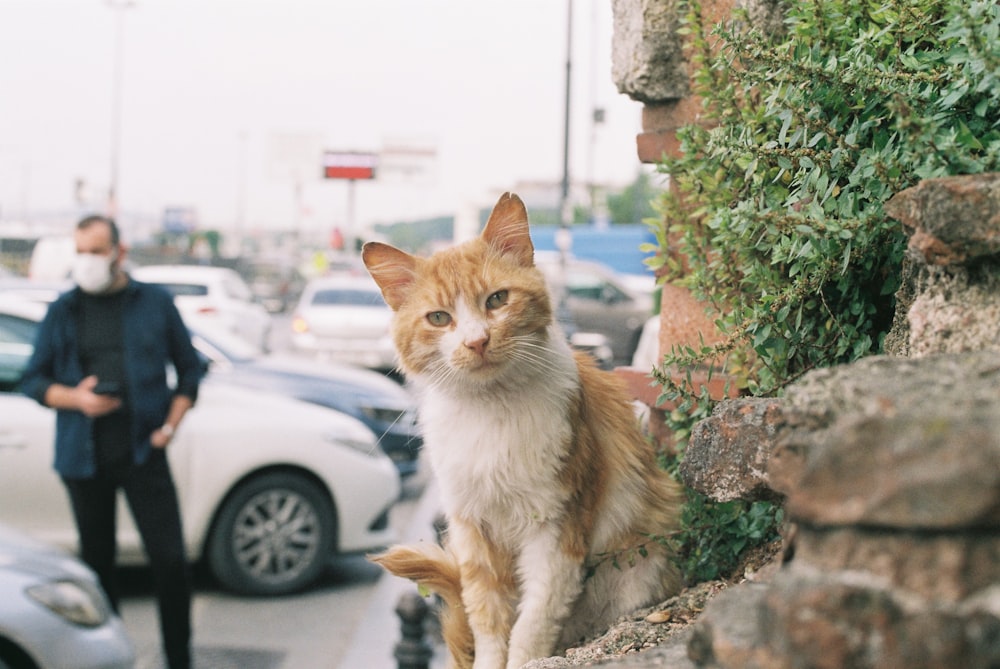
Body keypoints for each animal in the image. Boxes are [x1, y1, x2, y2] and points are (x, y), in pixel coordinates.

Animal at [364, 192, 684, 668]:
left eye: (497, 299)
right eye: (439, 318)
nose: (476, 342)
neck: (491, 410)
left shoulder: (555, 530)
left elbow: (533, 621)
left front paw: (524, 656)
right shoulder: (473, 530)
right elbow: (488, 621)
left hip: (636, 571)